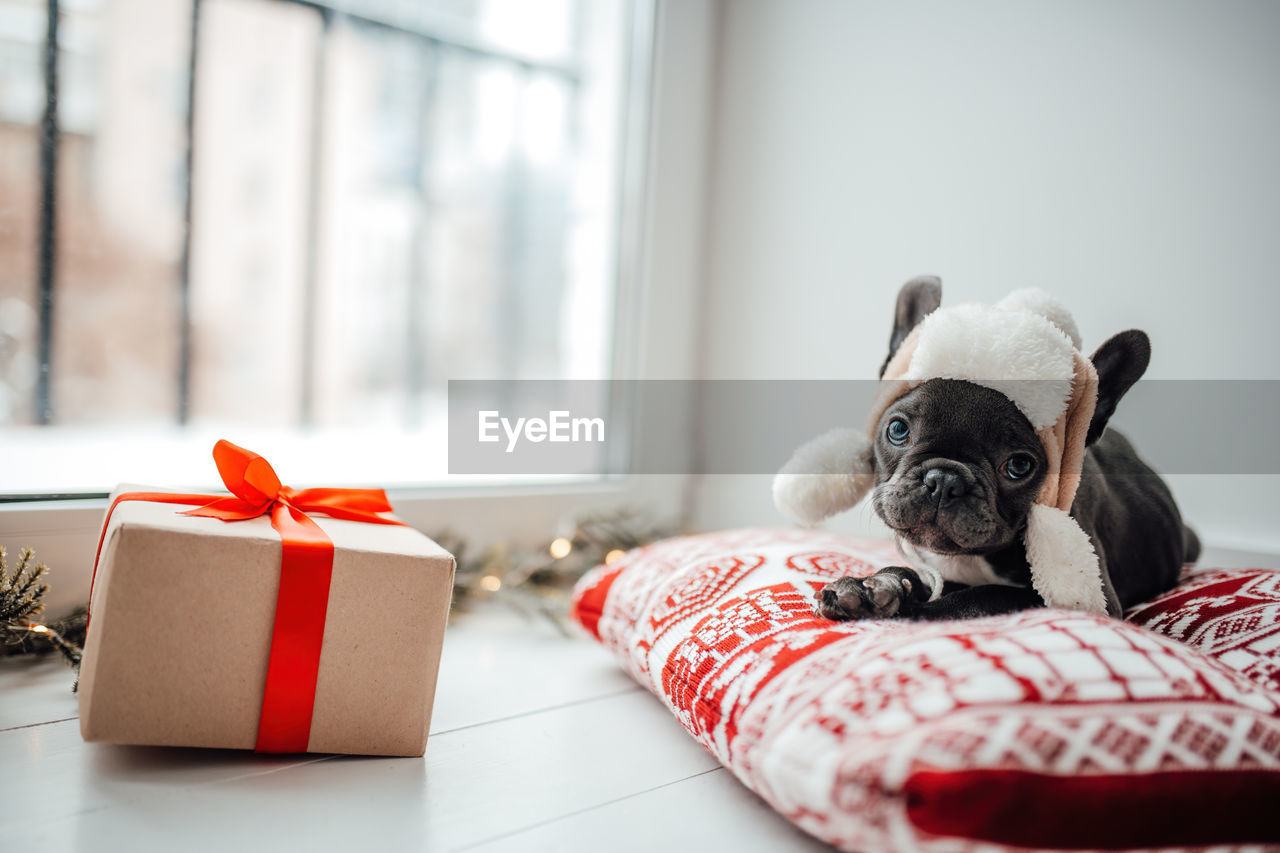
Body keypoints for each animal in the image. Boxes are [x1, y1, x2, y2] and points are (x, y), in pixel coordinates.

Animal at [814, 279, 1192, 617]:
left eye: (1019, 466)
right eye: (897, 430)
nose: (943, 480)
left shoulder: (1090, 600)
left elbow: (979, 595)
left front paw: (913, 610)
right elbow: (914, 573)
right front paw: (869, 587)